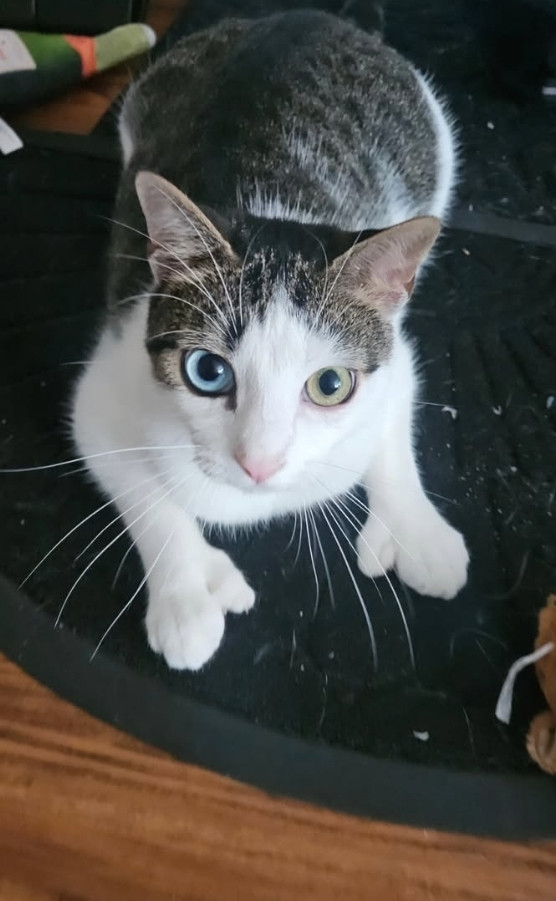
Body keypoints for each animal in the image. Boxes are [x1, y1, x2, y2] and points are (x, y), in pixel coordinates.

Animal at [72, 9, 469, 671]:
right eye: (207, 372)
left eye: (330, 384)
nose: (259, 463)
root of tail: (301, 15)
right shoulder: (104, 386)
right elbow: (141, 491)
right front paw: (186, 596)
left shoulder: (396, 353)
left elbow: (392, 421)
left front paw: (418, 531)